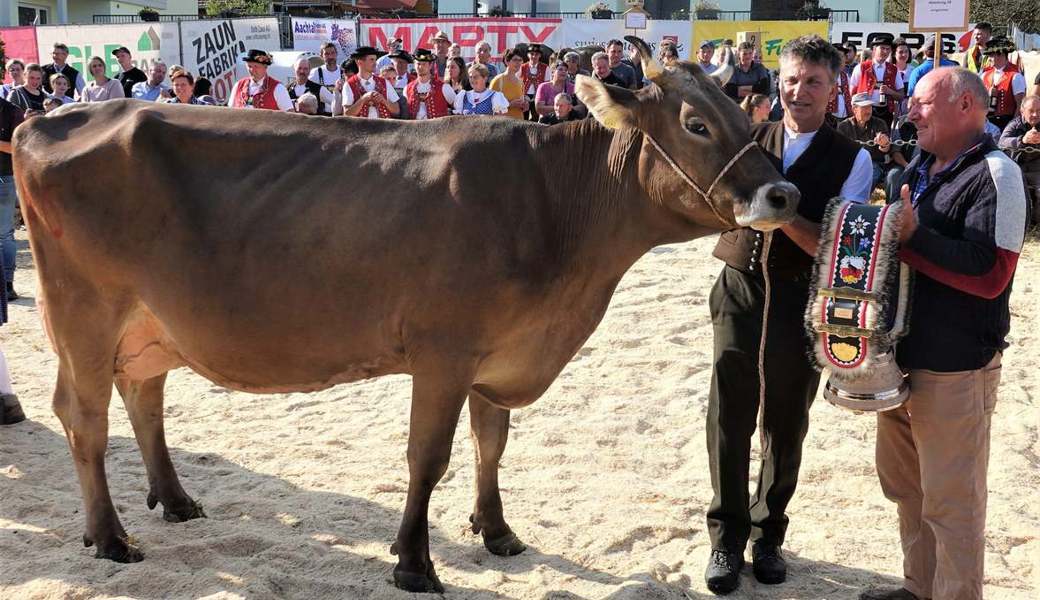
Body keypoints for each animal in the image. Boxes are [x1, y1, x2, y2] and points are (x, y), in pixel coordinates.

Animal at [14, 39, 794, 590]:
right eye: (695, 124)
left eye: (745, 115)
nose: (783, 195)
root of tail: (50, 117)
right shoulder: (444, 352)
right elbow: (430, 455)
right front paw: (415, 563)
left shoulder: (497, 354)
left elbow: (490, 444)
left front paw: (496, 531)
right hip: (84, 315)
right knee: (84, 417)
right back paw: (110, 537)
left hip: (148, 325)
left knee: (143, 397)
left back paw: (174, 501)